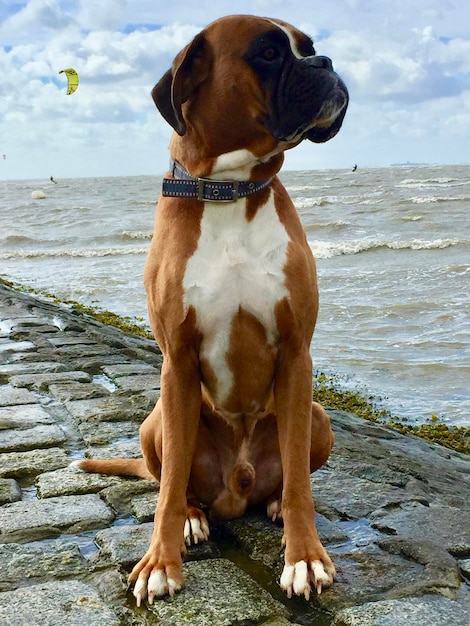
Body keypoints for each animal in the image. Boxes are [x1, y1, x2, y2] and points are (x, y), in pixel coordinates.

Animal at [71, 13, 346, 604]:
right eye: (269, 52)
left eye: (308, 47)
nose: (326, 63)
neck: (230, 191)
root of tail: (236, 490)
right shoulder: (176, 364)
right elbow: (170, 483)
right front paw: (160, 562)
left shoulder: (297, 356)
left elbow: (300, 482)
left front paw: (304, 556)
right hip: (154, 420)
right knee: (174, 481)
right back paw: (195, 518)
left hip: (317, 414)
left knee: (287, 477)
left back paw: (271, 505)